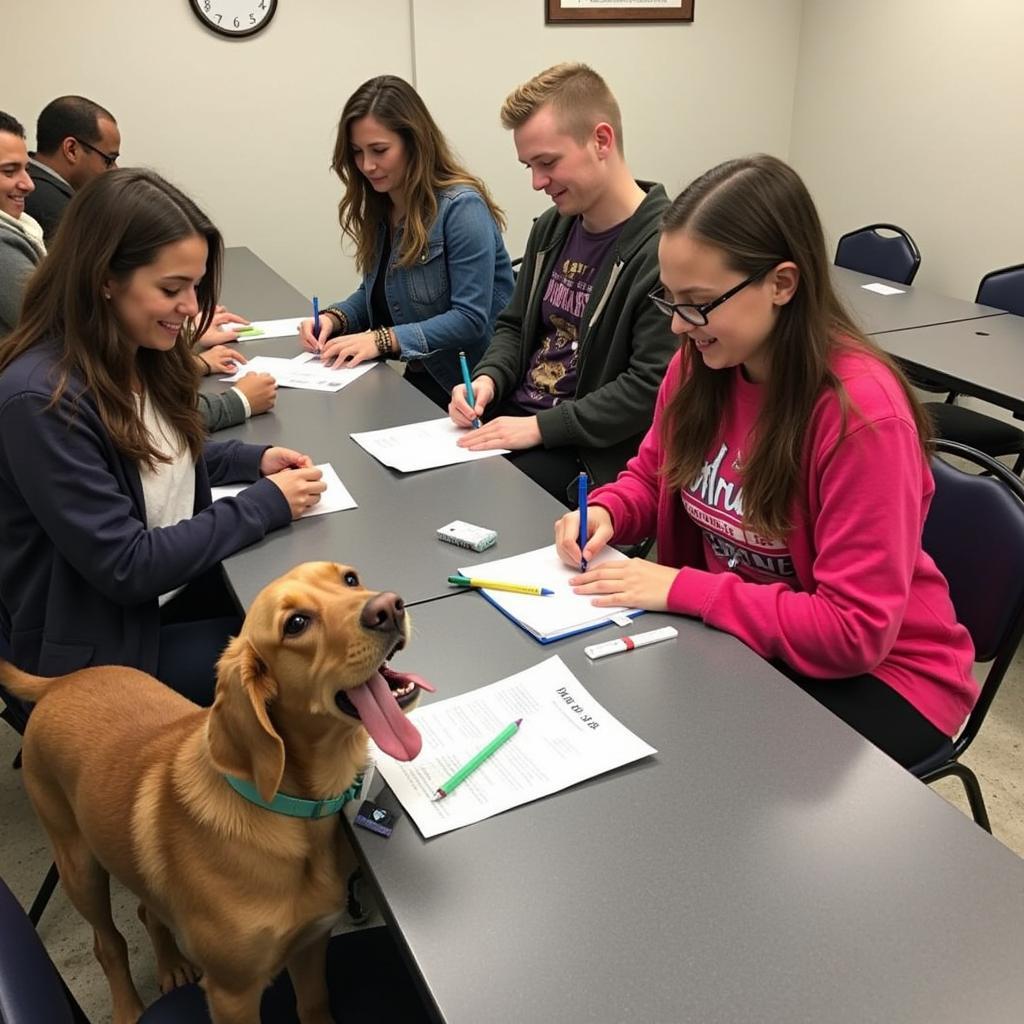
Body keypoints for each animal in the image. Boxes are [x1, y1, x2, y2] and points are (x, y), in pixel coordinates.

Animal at [1, 561, 432, 1024]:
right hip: (79, 868)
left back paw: (171, 964)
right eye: (296, 624)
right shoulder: (232, 994)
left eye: (350, 579)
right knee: (107, 943)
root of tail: (57, 683)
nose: (389, 607)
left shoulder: (311, 944)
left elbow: (314, 1004)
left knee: (146, 908)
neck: (294, 809)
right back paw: (129, 1008)